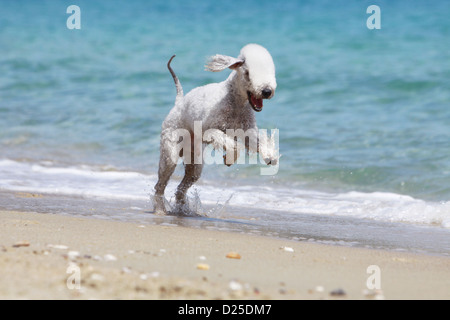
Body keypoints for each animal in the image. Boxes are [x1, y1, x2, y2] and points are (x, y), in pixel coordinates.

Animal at [155, 43, 278, 214]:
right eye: (247, 73)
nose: (267, 91)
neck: (235, 101)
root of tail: (178, 102)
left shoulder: (247, 130)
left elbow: (257, 142)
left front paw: (270, 156)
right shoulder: (209, 130)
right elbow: (231, 144)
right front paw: (230, 158)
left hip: (195, 162)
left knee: (182, 187)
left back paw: (183, 209)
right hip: (170, 153)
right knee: (159, 185)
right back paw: (160, 210)